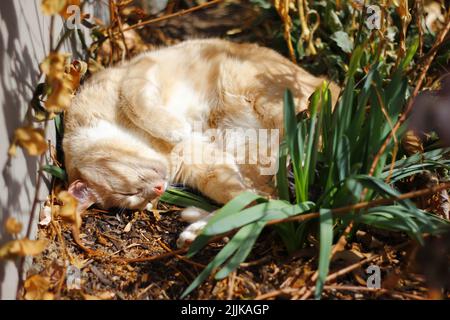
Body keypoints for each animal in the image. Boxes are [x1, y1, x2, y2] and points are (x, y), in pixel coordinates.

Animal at [62, 38, 338, 246]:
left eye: (127, 193)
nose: (158, 190)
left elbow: (135, 104)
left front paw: (174, 127)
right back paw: (197, 231)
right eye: (135, 200)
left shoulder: (139, 71)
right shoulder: (207, 165)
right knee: (266, 202)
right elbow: (242, 197)